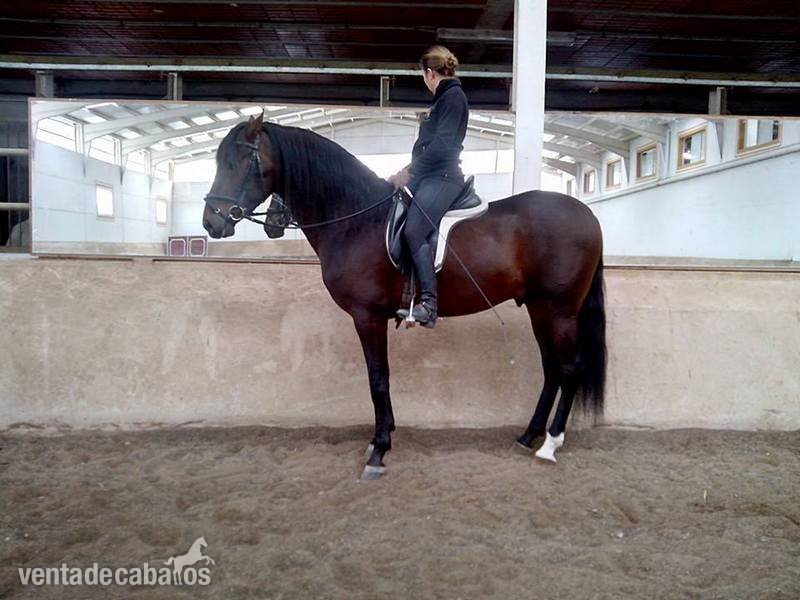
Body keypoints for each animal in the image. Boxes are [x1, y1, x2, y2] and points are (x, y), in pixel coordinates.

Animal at [203, 112, 606, 479]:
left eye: (240, 162)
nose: (211, 222)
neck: (356, 220)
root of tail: (587, 215)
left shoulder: (367, 316)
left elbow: (378, 379)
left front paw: (379, 450)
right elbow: (379, 379)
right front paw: (380, 438)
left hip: (560, 311)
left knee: (568, 369)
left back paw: (550, 444)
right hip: (539, 309)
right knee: (551, 369)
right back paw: (528, 436)